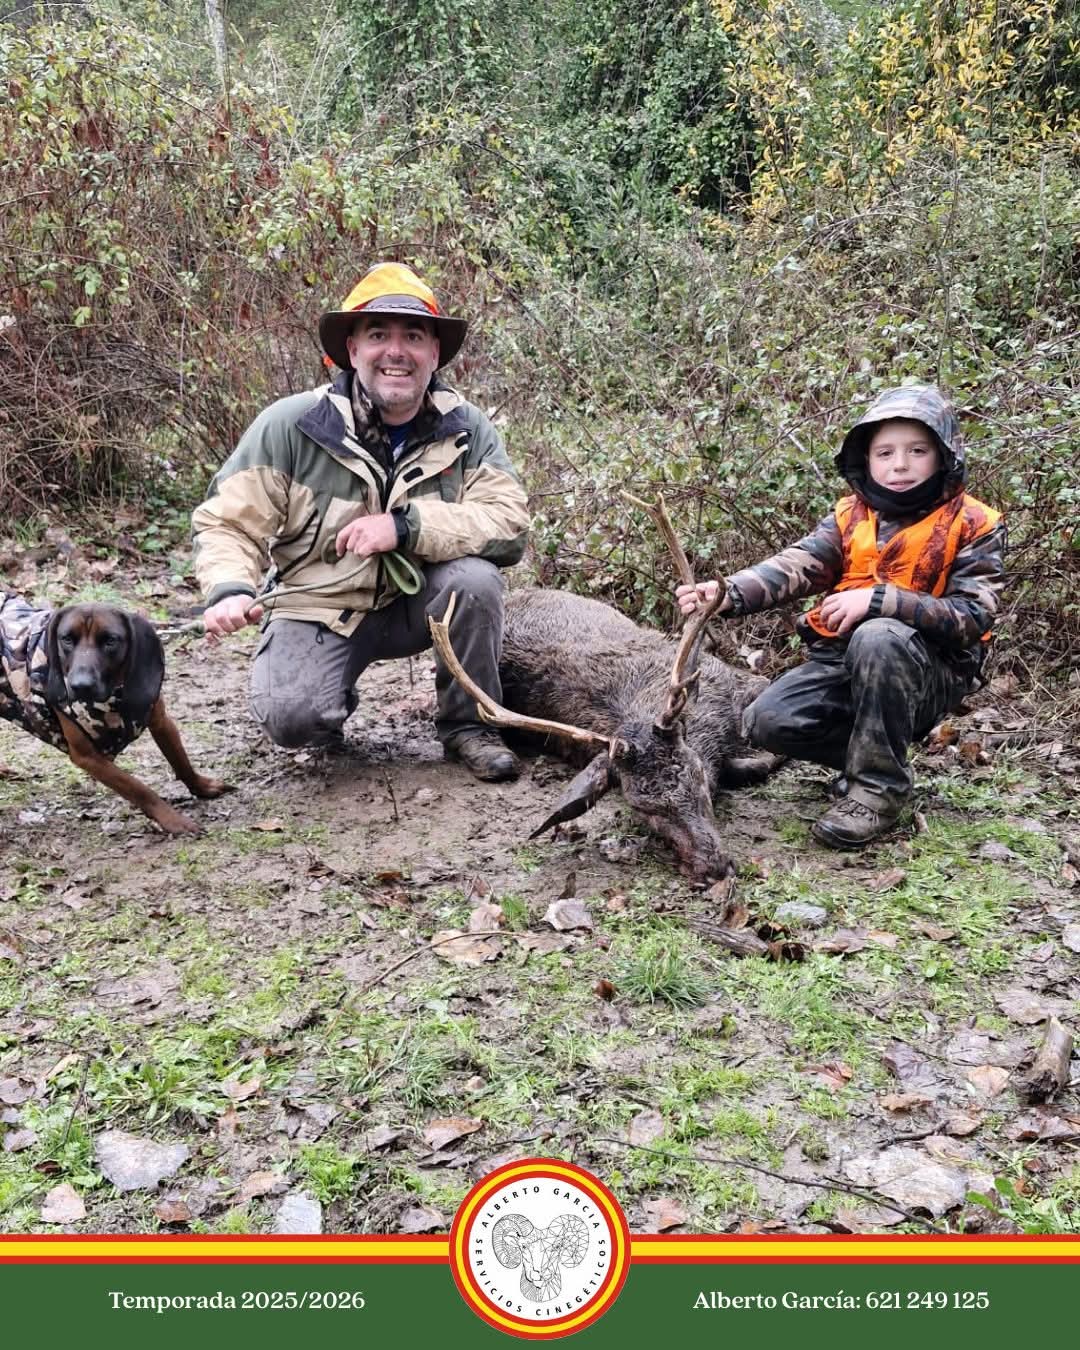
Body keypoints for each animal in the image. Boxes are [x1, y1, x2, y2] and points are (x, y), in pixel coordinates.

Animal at [0, 592, 230, 834]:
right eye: (67, 639)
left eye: (110, 640)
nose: (80, 686)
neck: (111, 699)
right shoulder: (88, 757)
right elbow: (138, 788)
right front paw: (172, 818)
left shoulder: (161, 722)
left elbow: (181, 761)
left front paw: (201, 786)